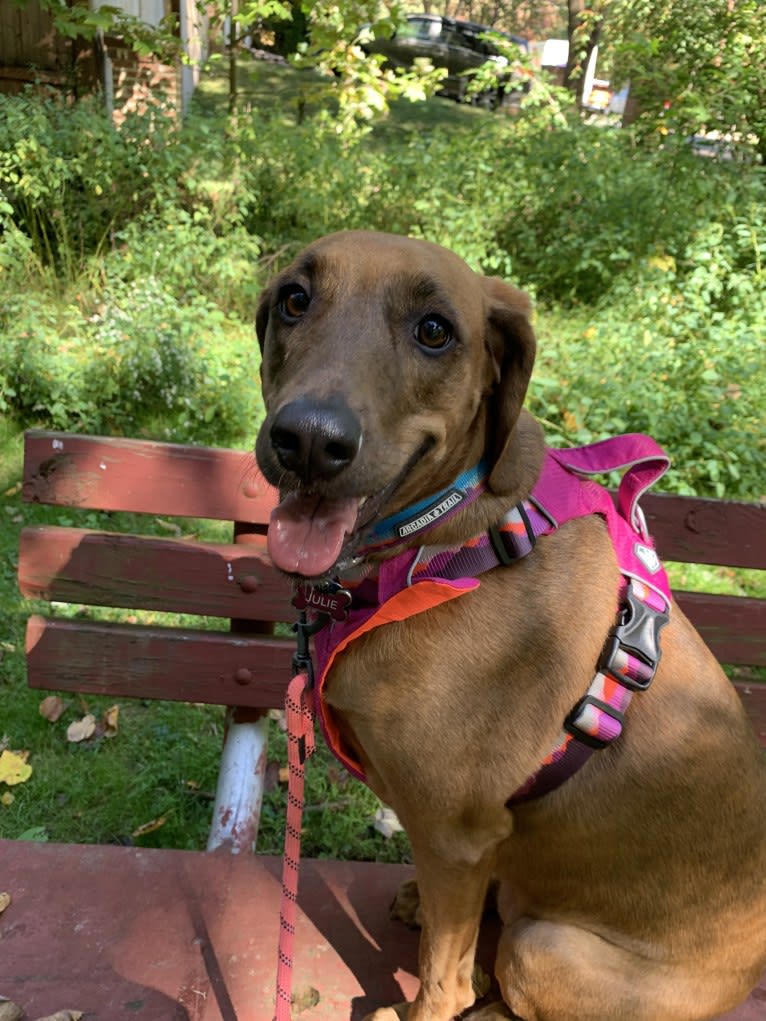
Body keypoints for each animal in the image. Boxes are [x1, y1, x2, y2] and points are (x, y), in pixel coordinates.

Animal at [253, 231, 766, 1021]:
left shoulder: (455, 835)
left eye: (435, 330)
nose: (308, 440)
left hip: (545, 945)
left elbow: (444, 978)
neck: (451, 543)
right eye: (294, 299)